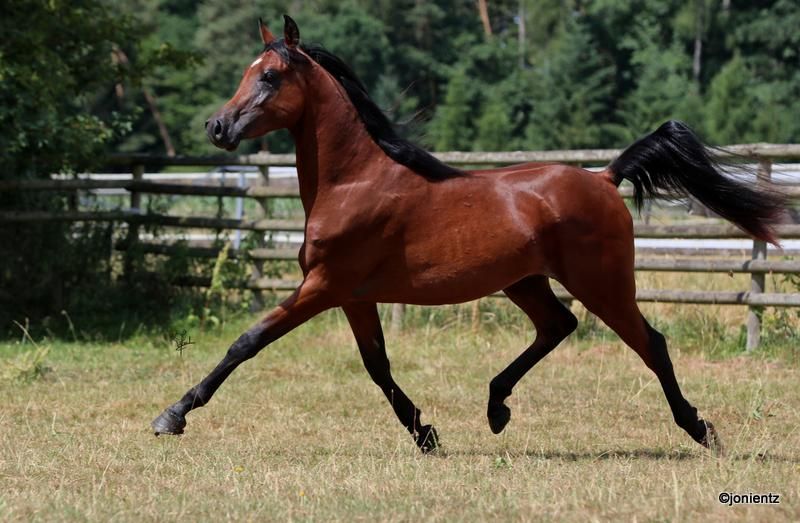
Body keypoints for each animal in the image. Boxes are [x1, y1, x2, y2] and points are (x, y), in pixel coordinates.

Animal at [152, 15, 786, 453]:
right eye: (246, 73)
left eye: (270, 75)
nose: (216, 126)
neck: (353, 181)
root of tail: (605, 178)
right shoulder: (353, 295)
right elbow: (377, 367)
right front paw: (426, 434)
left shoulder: (324, 286)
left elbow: (247, 342)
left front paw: (172, 415)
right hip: (524, 281)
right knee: (558, 326)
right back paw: (496, 407)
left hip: (602, 283)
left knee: (649, 343)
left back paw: (699, 429)